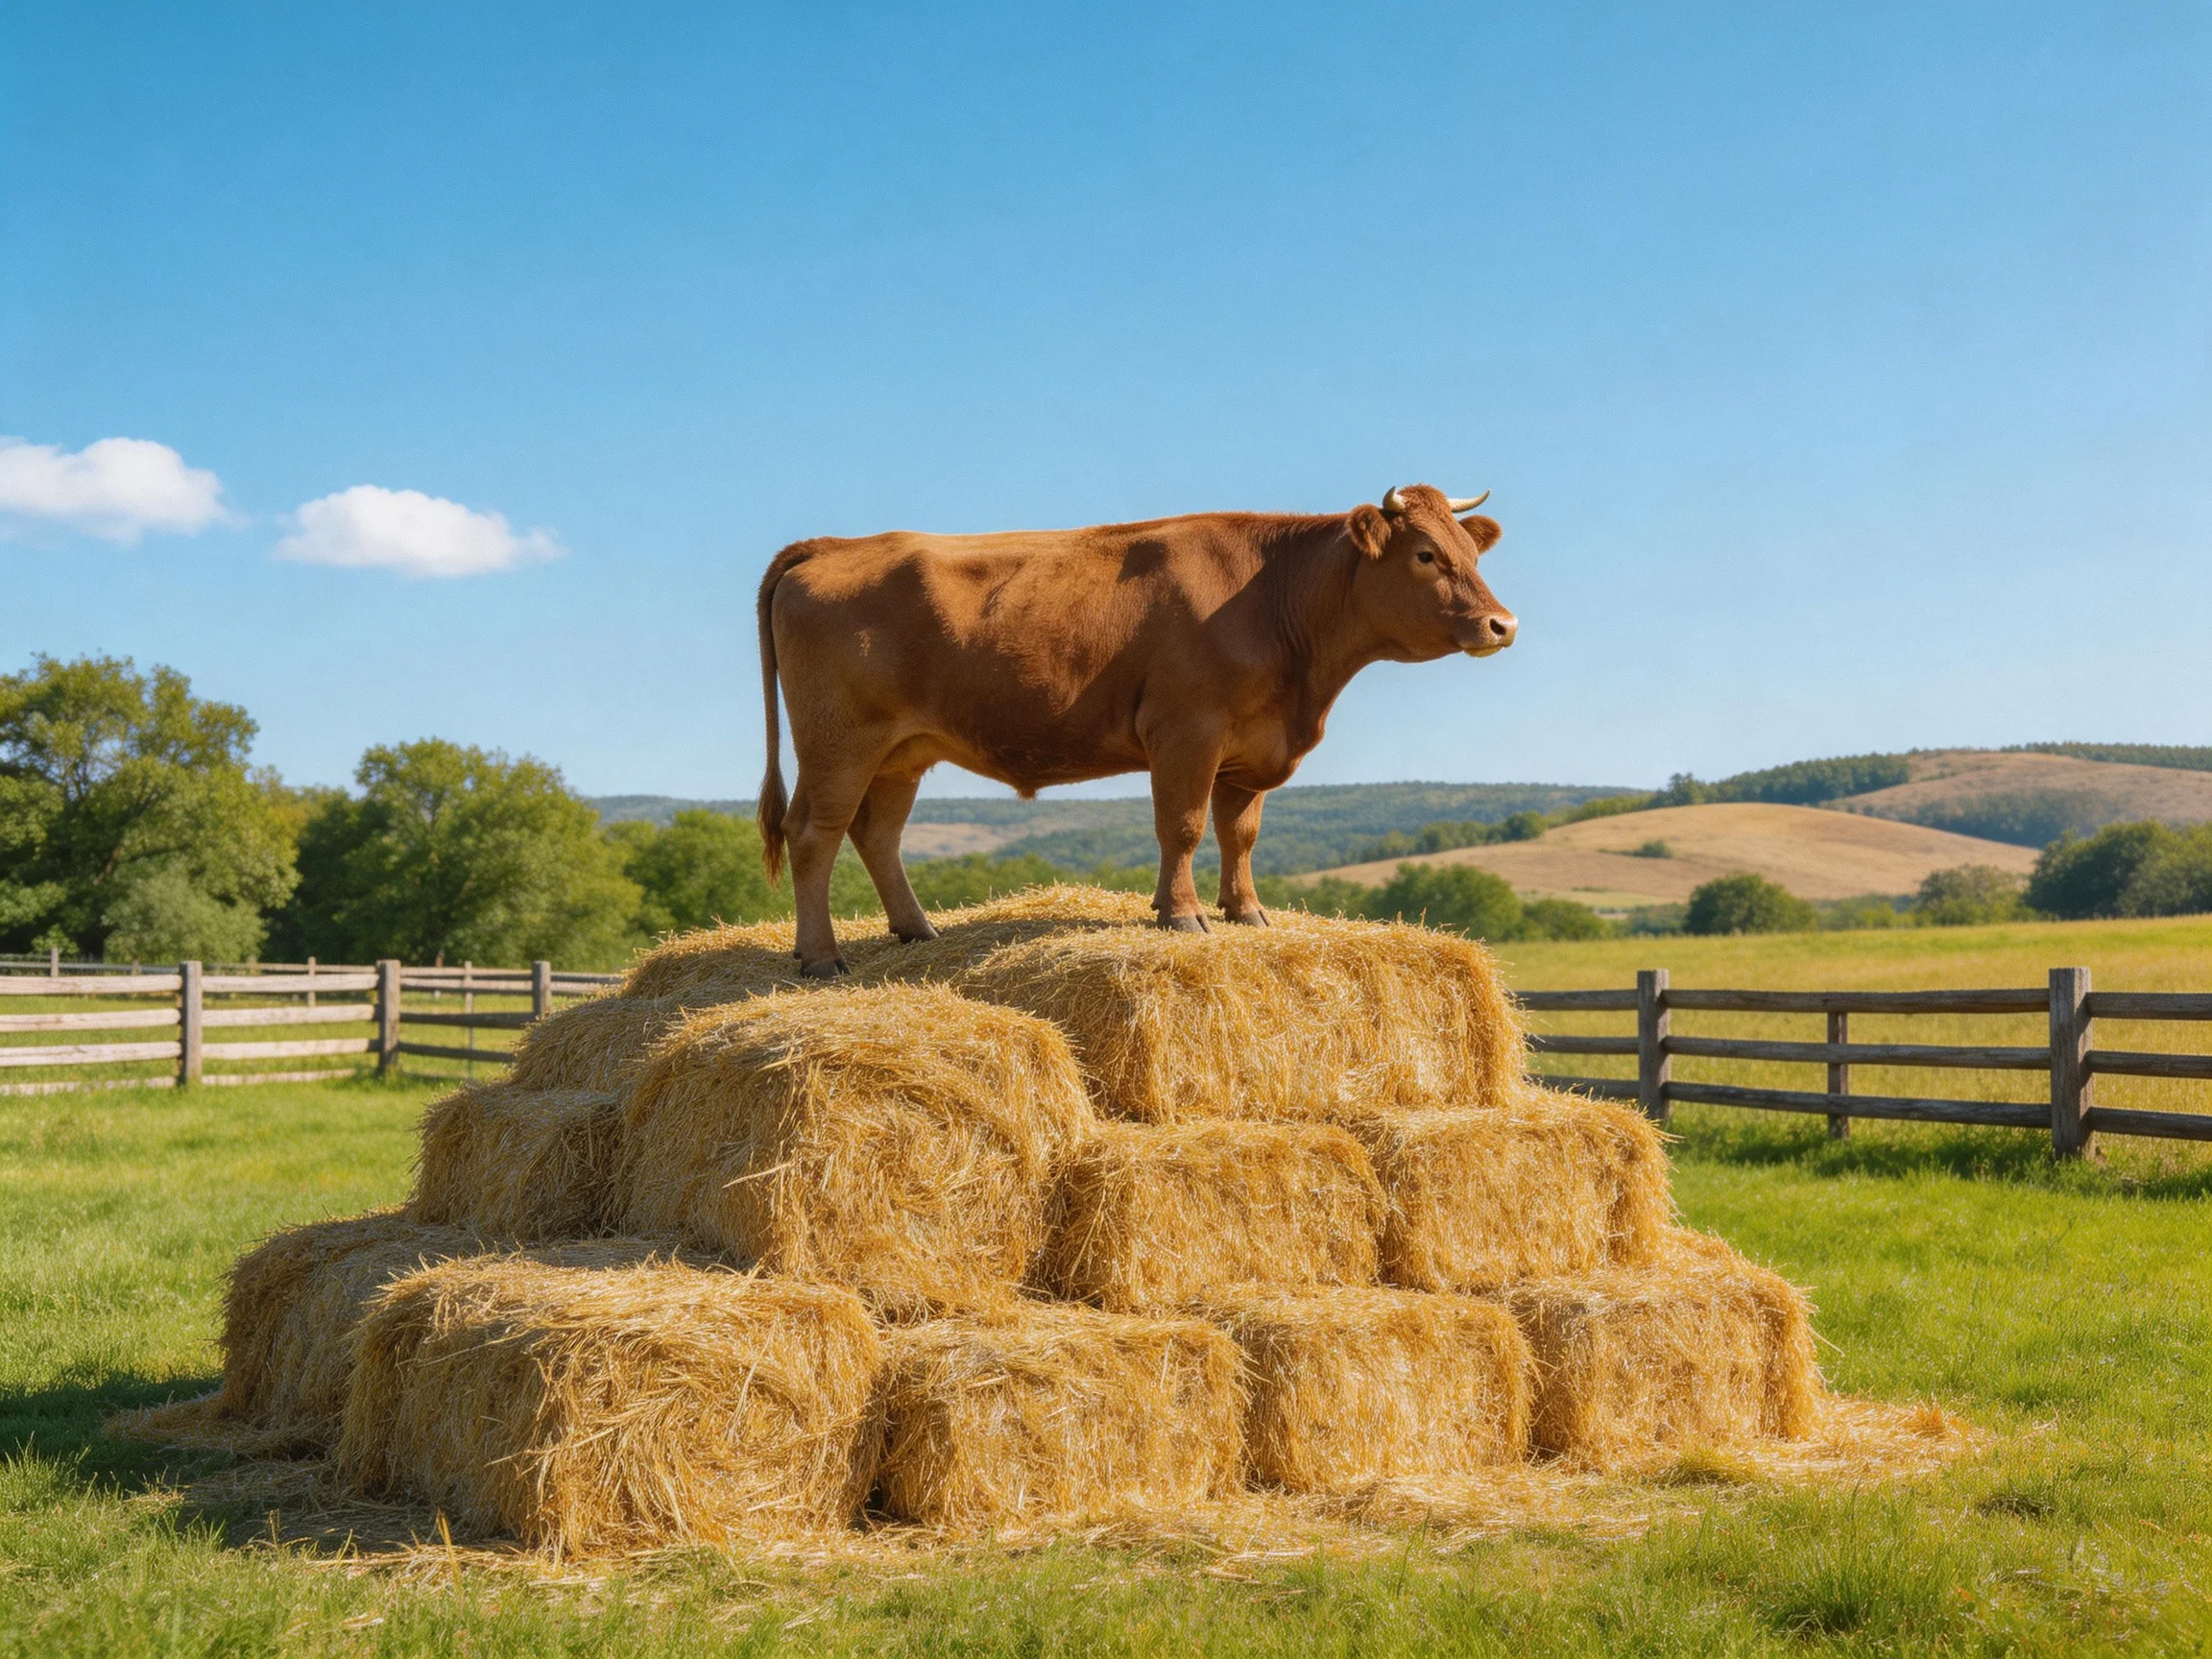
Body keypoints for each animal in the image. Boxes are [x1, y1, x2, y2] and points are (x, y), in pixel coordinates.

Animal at [755, 483, 1518, 975]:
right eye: (1425, 554)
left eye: (1473, 553)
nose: (1501, 624)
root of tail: (832, 546)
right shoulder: (1186, 730)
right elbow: (1182, 826)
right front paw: (1181, 915)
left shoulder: (1250, 748)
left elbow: (1240, 833)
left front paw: (1245, 911)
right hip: (838, 742)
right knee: (814, 835)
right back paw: (821, 957)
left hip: (900, 753)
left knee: (875, 833)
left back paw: (916, 932)